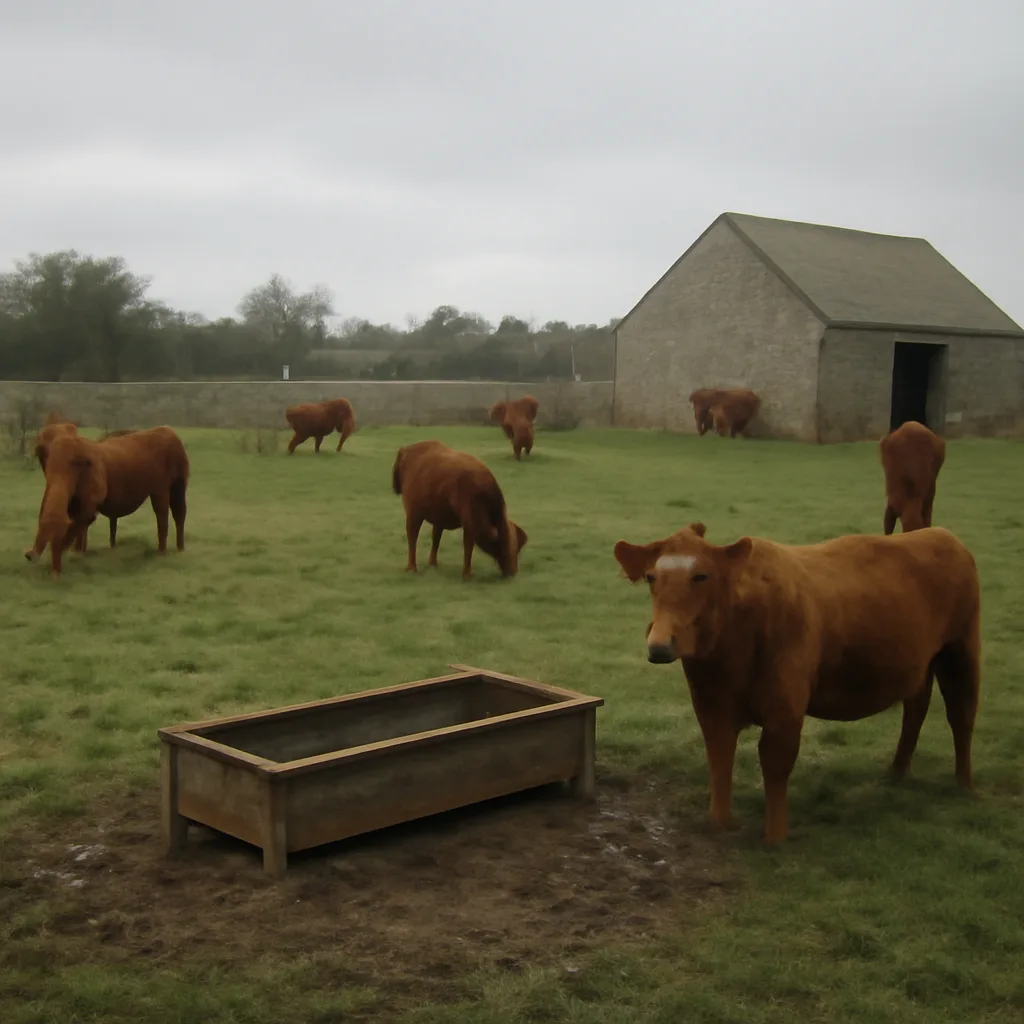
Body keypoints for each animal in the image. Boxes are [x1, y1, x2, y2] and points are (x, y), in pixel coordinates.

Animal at [24, 427, 190, 577]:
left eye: (76, 464)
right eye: (42, 456)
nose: (29, 555)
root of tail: (169, 430)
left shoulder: (95, 481)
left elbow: (86, 516)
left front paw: (61, 560)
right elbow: (78, 518)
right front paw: (73, 556)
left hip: (172, 477)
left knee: (170, 510)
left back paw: (169, 552)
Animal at [391, 439, 527, 579]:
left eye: (517, 549)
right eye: (506, 546)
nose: (513, 572)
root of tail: (404, 451)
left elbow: (439, 540)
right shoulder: (469, 524)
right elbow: (468, 548)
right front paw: (467, 574)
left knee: (435, 538)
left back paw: (432, 563)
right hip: (413, 514)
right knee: (412, 538)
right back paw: (412, 567)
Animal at [612, 521, 981, 844]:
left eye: (701, 576)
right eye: (651, 577)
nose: (660, 645)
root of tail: (940, 534)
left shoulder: (785, 710)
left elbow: (775, 763)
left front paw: (776, 837)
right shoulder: (711, 706)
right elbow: (719, 756)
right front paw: (719, 823)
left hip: (961, 650)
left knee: (961, 716)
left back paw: (964, 785)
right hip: (920, 666)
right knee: (915, 709)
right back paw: (897, 771)